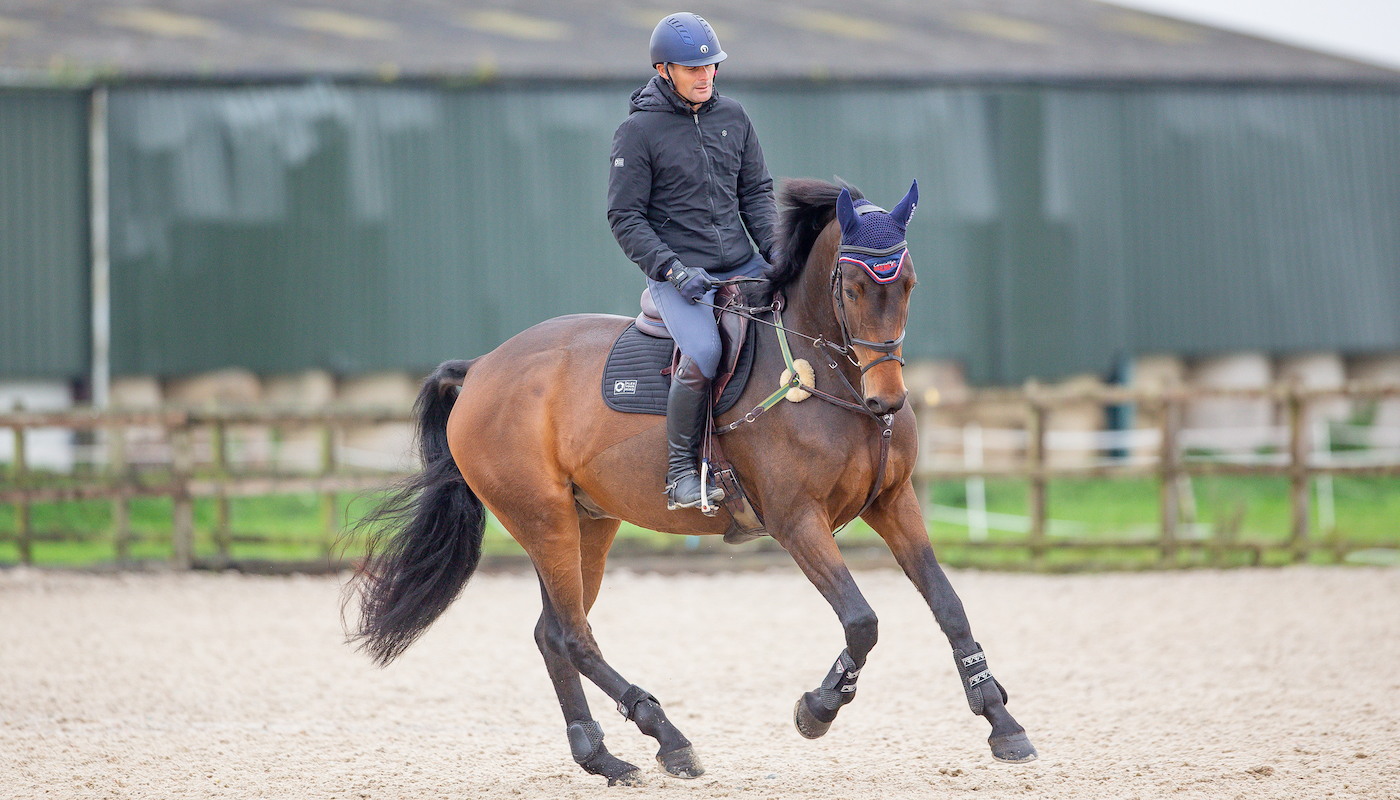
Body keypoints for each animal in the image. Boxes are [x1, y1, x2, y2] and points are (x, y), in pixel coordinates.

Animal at [346, 178, 1037, 786]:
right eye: (853, 284)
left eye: (909, 283)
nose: (886, 402)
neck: (829, 378)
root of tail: (483, 368)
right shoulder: (796, 521)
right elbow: (862, 621)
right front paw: (816, 710)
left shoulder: (893, 502)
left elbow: (949, 605)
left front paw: (1002, 723)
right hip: (542, 520)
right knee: (572, 635)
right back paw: (668, 739)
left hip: (588, 522)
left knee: (553, 634)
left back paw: (603, 759)